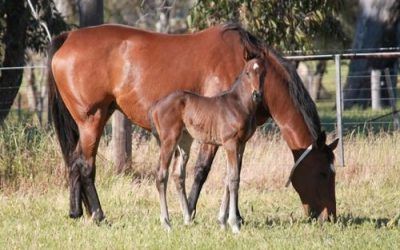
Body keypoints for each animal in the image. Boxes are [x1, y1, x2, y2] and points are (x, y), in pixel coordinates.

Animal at [148, 58, 268, 232]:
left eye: (264, 72)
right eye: (247, 72)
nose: (257, 94)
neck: (238, 104)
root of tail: (155, 106)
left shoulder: (241, 145)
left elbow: (229, 178)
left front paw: (223, 221)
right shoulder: (230, 143)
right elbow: (233, 179)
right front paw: (234, 224)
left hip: (184, 141)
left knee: (178, 174)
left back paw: (187, 219)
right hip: (169, 140)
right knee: (161, 175)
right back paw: (167, 223)